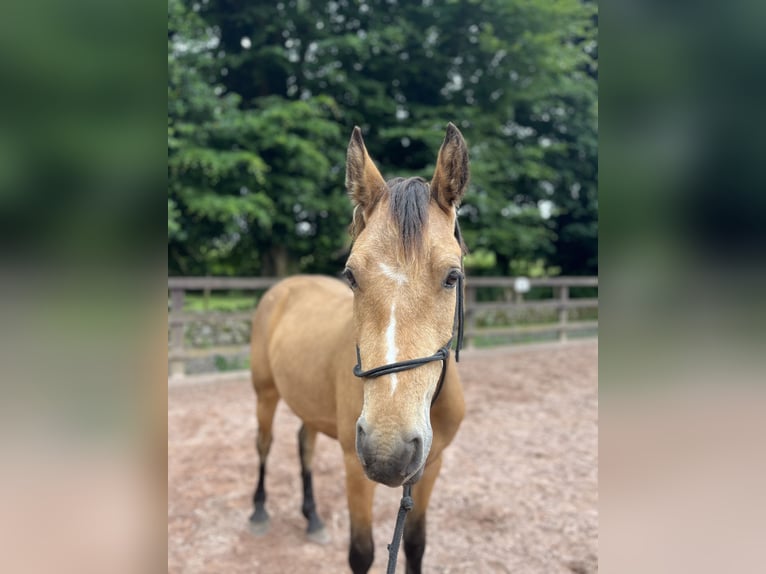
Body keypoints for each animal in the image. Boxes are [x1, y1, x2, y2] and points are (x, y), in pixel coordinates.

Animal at [249, 124, 472, 572]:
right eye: (351, 275)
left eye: (452, 277)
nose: (389, 451)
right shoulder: (355, 466)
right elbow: (362, 553)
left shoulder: (430, 465)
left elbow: (416, 544)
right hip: (265, 394)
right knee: (264, 445)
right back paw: (260, 511)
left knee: (304, 445)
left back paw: (313, 518)